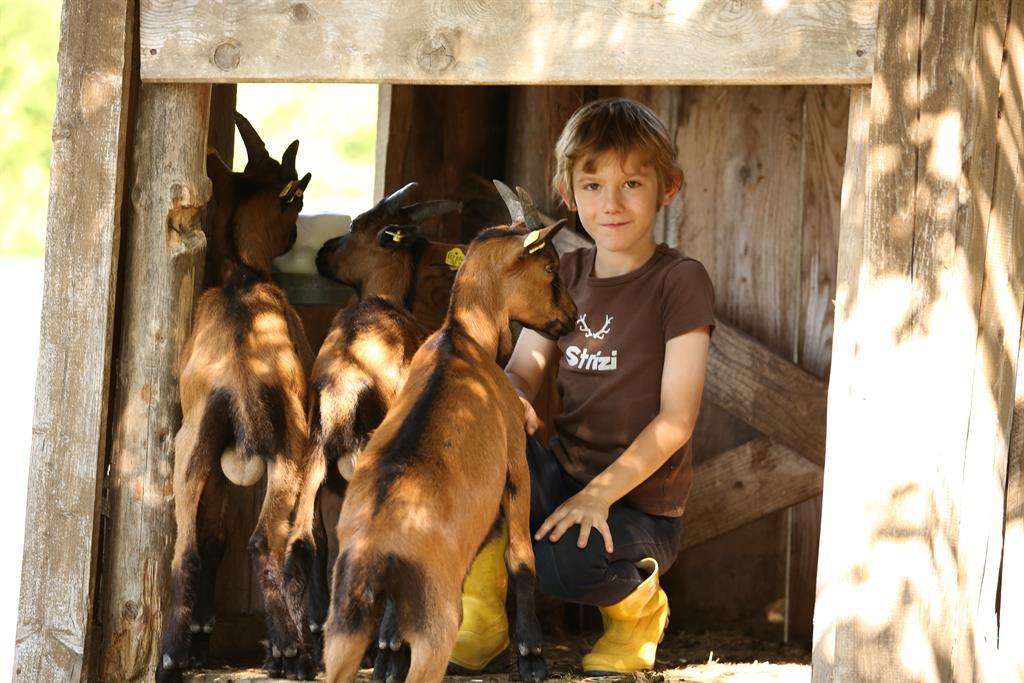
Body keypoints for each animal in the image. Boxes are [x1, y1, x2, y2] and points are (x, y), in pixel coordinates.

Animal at [156, 113, 317, 682]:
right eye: (293, 202)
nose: (294, 234)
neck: (242, 276)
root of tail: (243, 375)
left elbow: (214, 535)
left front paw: (203, 636)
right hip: (289, 444)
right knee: (264, 540)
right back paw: (291, 652)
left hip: (192, 446)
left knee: (186, 549)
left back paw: (170, 658)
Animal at [321, 182, 578, 683]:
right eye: (551, 268)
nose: (572, 317)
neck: (462, 339)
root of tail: (377, 545)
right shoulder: (516, 465)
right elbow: (521, 558)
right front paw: (532, 656)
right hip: (436, 625)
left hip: (343, 627)